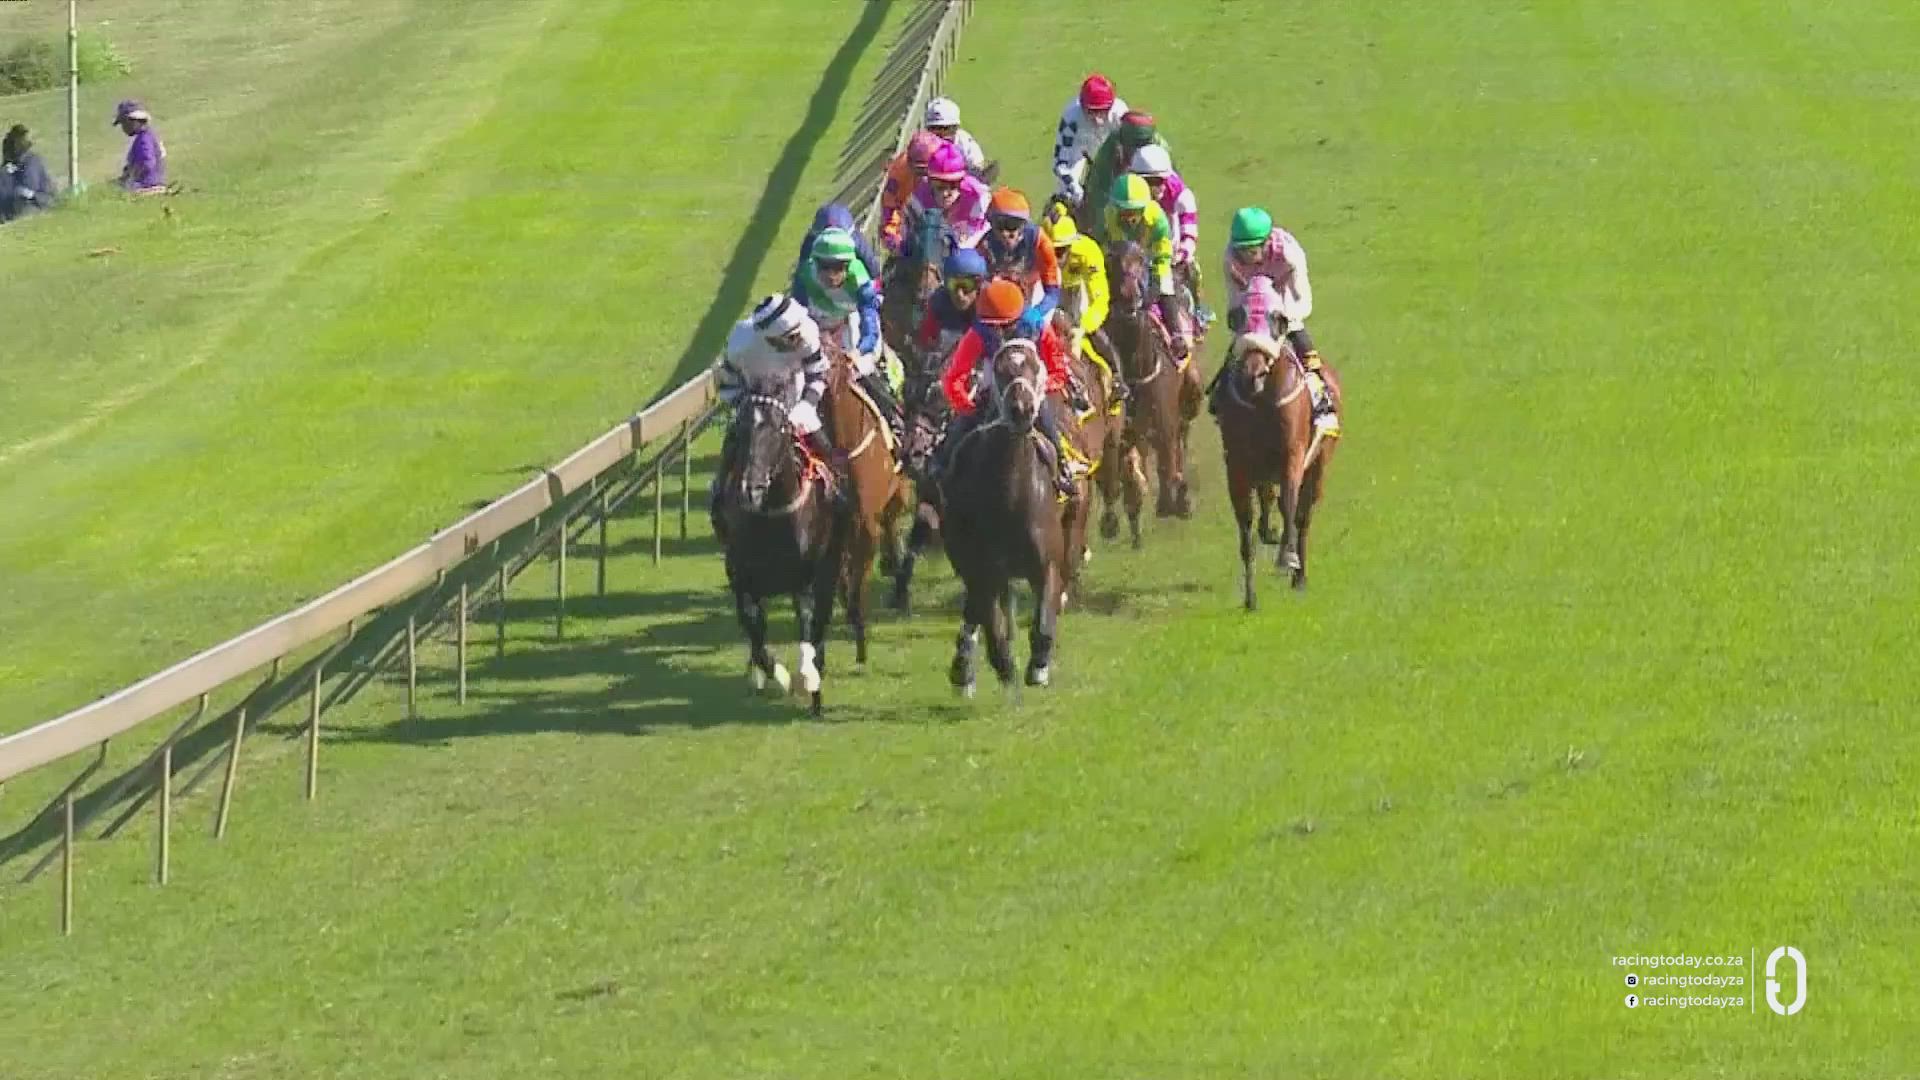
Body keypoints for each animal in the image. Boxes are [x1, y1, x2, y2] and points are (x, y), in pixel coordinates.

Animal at [717, 375, 851, 714]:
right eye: (742, 429)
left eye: (779, 428)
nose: (751, 489)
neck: (771, 516)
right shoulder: (740, 577)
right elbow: (754, 629)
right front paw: (775, 675)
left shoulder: (806, 577)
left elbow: (807, 622)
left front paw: (808, 677)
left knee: (820, 621)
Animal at [818, 334, 912, 666]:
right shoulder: (837, 522)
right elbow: (841, 580)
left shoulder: (865, 523)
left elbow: (858, 585)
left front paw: (860, 636)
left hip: (900, 492)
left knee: (893, 525)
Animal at [940, 342, 1073, 694]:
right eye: (1000, 370)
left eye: (1034, 365)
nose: (1021, 409)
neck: (1010, 494)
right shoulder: (982, 568)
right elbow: (990, 623)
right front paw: (1003, 665)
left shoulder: (1047, 563)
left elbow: (1044, 619)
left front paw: (1038, 665)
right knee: (974, 610)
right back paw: (964, 668)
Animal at [1103, 241, 1204, 545]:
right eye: (1111, 262)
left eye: (1141, 260)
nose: (1129, 294)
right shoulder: (1123, 431)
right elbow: (1126, 472)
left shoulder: (1164, 424)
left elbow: (1168, 463)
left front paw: (1173, 500)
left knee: (1180, 441)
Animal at [1212, 330, 1339, 607]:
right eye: (1237, 321)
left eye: (1275, 323)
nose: (1253, 374)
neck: (1262, 402)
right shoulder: (1237, 469)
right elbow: (1247, 526)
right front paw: (1250, 597)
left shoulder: (1292, 458)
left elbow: (1289, 506)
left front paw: (1287, 557)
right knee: (1269, 501)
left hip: (1318, 466)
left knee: (1302, 516)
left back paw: (1299, 575)